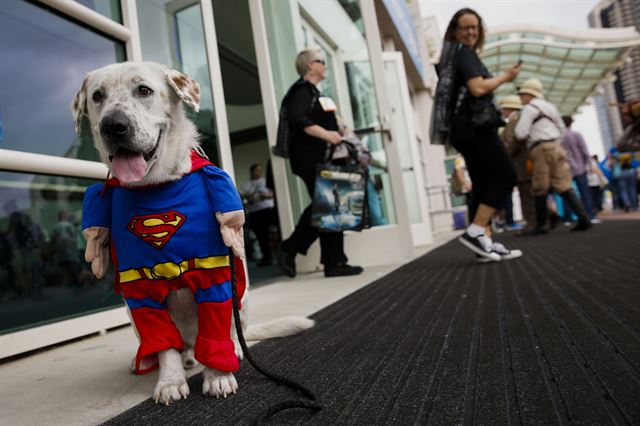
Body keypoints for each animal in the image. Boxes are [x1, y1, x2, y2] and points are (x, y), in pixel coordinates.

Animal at [71, 62, 314, 406]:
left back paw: (233, 350)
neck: (156, 189)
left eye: (144, 90)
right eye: (97, 96)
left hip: (241, 298)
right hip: (132, 315)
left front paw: (218, 376)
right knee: (174, 345)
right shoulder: (140, 291)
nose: (113, 126)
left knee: (230, 332)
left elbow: (215, 332)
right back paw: (161, 359)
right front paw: (170, 380)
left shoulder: (214, 276)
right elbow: (164, 346)